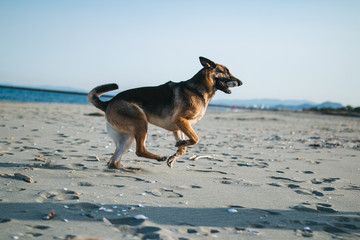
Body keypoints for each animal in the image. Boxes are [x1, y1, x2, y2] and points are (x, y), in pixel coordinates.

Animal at [88, 56, 242, 169]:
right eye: (226, 71)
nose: (240, 82)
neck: (197, 90)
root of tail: (109, 102)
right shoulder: (181, 121)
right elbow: (195, 139)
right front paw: (180, 146)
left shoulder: (178, 127)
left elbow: (184, 147)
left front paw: (176, 153)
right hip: (140, 123)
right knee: (139, 150)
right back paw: (158, 157)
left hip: (127, 137)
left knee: (113, 161)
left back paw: (125, 169)